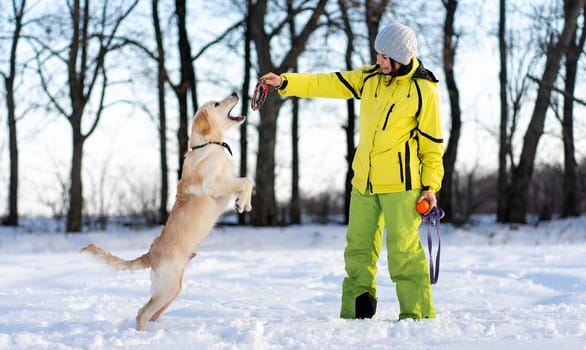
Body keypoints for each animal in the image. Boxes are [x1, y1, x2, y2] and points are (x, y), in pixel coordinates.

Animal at [78, 91, 252, 330]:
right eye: (217, 103)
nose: (235, 93)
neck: (208, 144)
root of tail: (150, 254)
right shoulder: (214, 186)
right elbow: (245, 181)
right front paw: (241, 203)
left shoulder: (225, 183)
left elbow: (246, 181)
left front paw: (245, 203)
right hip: (167, 287)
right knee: (142, 312)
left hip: (173, 289)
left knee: (152, 313)